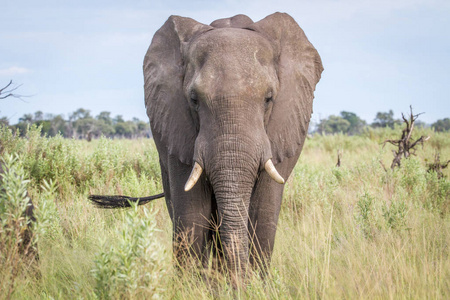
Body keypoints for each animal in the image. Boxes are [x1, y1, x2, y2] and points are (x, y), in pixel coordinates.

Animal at [89, 12, 322, 278]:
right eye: (194, 99)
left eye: (268, 99)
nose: (240, 282)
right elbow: (191, 216)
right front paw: (195, 284)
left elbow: (262, 215)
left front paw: (253, 283)